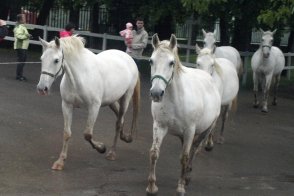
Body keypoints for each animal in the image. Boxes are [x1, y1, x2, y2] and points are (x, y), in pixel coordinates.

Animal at [36, 36, 140, 170]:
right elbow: (67, 133)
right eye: (42, 59)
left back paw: (112, 153)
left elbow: (87, 134)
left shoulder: (94, 107)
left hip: (126, 97)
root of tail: (128, 58)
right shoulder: (67, 105)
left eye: (56, 60)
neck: (80, 77)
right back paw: (126, 137)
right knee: (120, 119)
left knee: (118, 123)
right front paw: (60, 161)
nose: (41, 88)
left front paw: (101, 148)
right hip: (111, 101)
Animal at [147, 34, 220, 196]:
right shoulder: (159, 126)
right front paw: (152, 186)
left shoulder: (190, 131)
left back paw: (186, 177)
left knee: (194, 150)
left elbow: (185, 157)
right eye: (151, 61)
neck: (175, 98)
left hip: (206, 130)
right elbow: (154, 153)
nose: (156, 93)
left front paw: (180, 187)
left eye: (171, 62)